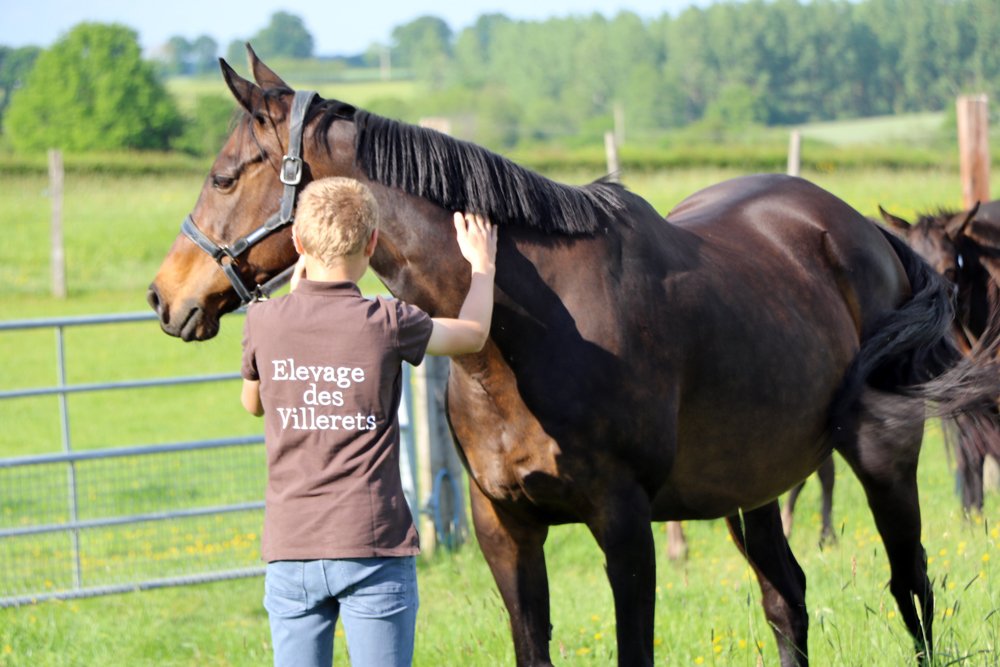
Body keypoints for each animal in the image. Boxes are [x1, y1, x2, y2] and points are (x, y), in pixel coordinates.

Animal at [148, 49, 999, 666]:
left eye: (223, 176)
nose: (165, 296)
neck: (519, 337)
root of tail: (862, 230)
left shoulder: (622, 523)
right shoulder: (505, 528)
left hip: (882, 455)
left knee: (911, 584)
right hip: (750, 486)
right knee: (786, 598)